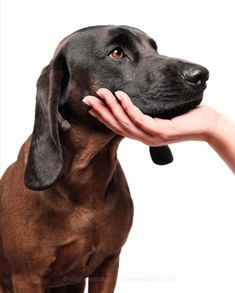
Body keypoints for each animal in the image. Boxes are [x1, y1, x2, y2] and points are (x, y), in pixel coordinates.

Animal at [0, 25, 209, 292]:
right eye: (117, 53)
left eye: (154, 48)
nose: (201, 75)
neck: (84, 184)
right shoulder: (27, 277)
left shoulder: (109, 263)